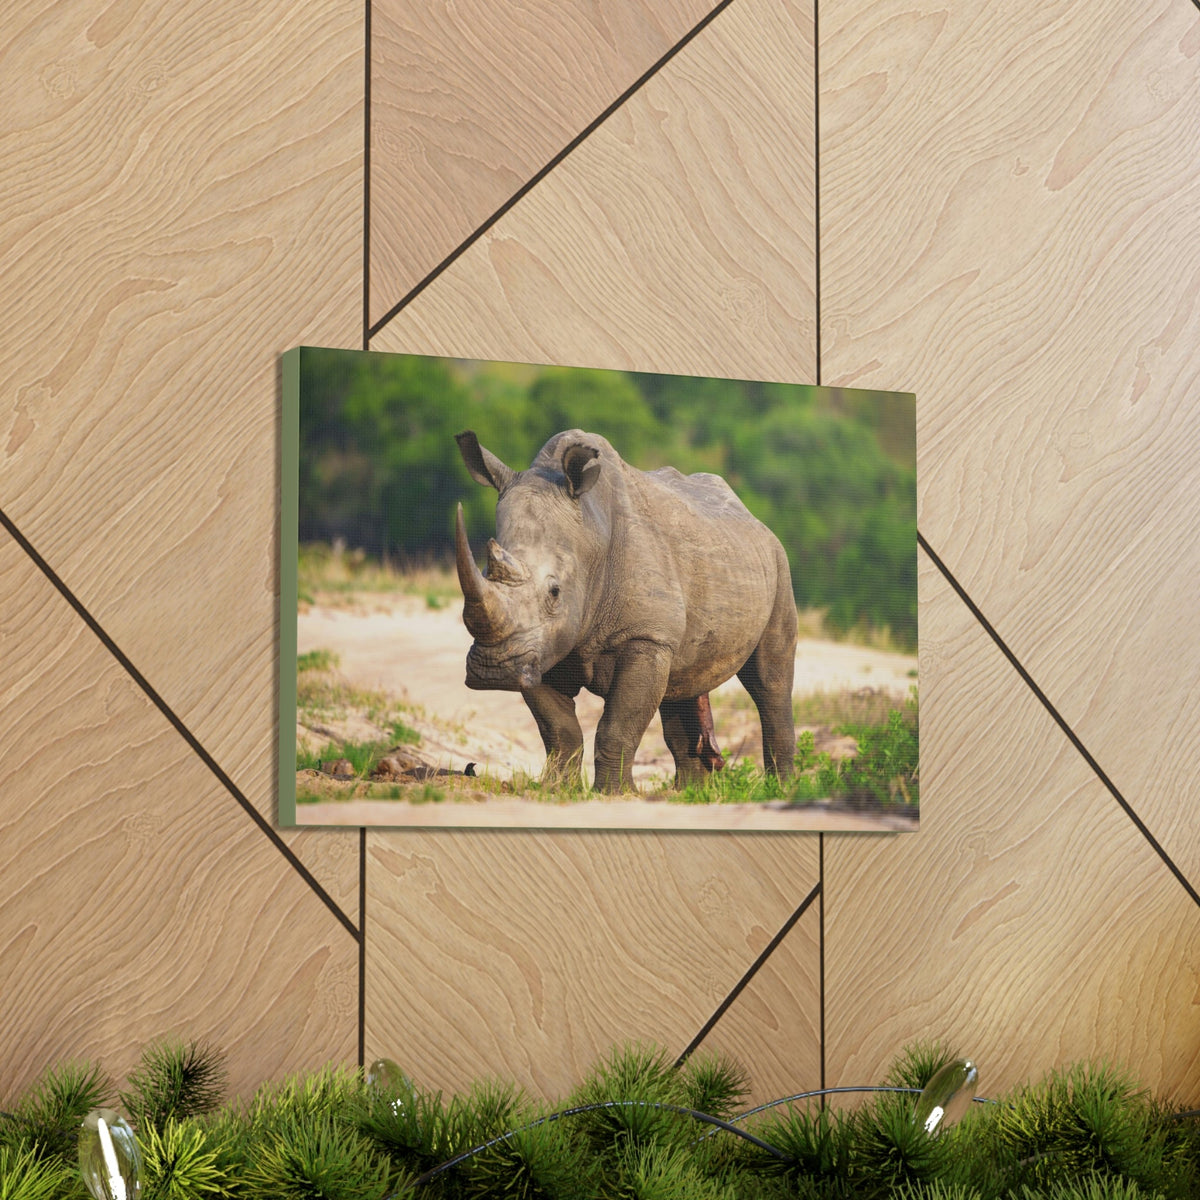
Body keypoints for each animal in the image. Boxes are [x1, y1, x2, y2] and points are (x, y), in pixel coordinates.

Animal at [454, 429, 797, 793]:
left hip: (777, 562)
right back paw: (687, 792)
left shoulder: (645, 636)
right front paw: (556, 789)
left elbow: (618, 724)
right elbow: (559, 730)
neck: (590, 535)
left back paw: (782, 788)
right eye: (485, 573)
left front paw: (614, 793)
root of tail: (752, 517)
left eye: (555, 592)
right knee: (682, 682)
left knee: (770, 682)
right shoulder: (539, 648)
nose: (493, 670)